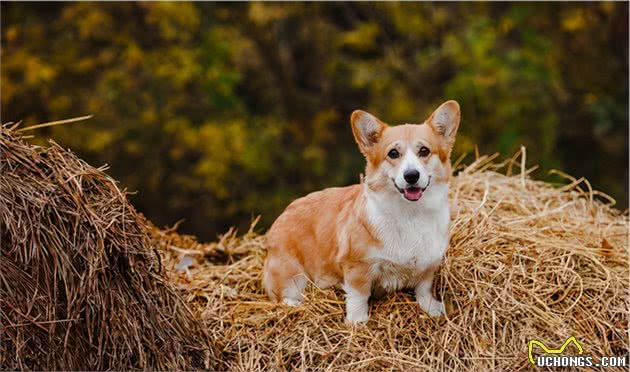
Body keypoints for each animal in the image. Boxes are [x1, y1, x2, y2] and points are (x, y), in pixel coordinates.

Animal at [264, 101, 462, 322]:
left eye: (424, 151)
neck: (411, 214)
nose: (411, 175)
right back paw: (296, 305)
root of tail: (280, 218)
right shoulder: (357, 267)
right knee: (284, 296)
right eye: (393, 153)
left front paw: (432, 309)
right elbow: (359, 296)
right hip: (292, 274)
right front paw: (357, 321)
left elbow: (424, 289)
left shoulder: (428, 265)